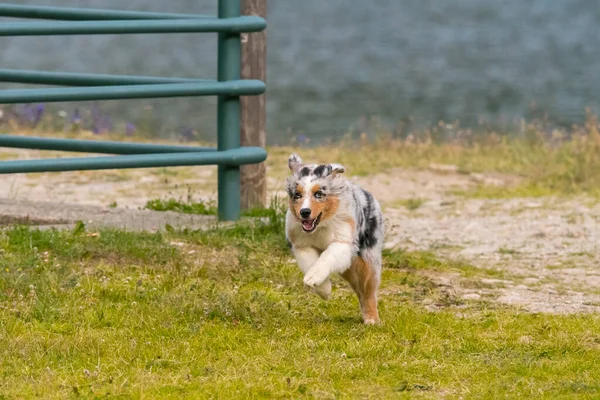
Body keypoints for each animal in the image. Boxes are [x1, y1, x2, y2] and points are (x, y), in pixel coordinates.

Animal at [286, 153, 384, 324]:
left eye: (318, 194)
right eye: (297, 195)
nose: (304, 212)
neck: (321, 226)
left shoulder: (344, 242)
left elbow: (328, 256)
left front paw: (314, 278)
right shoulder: (301, 245)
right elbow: (310, 262)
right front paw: (323, 289)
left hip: (367, 259)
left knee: (368, 291)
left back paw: (372, 319)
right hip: (349, 268)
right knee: (358, 289)